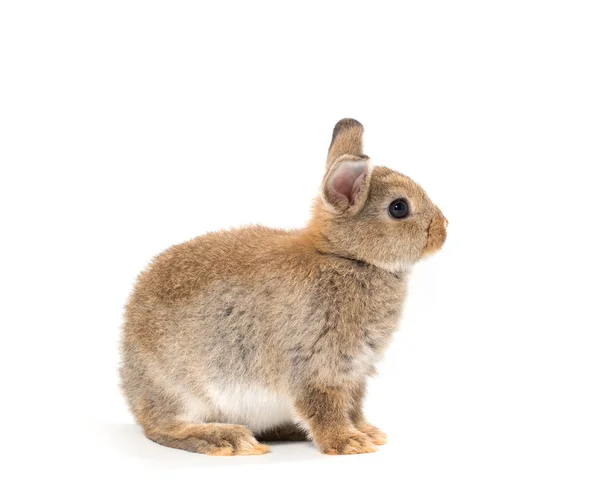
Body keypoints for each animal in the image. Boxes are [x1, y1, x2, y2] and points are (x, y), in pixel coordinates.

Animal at [119, 118, 446, 456]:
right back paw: (228, 439)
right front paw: (349, 442)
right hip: (179, 389)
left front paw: (369, 434)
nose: (444, 229)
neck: (345, 257)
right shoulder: (314, 365)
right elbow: (324, 408)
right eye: (399, 208)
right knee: (163, 427)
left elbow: (353, 407)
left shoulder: (355, 374)